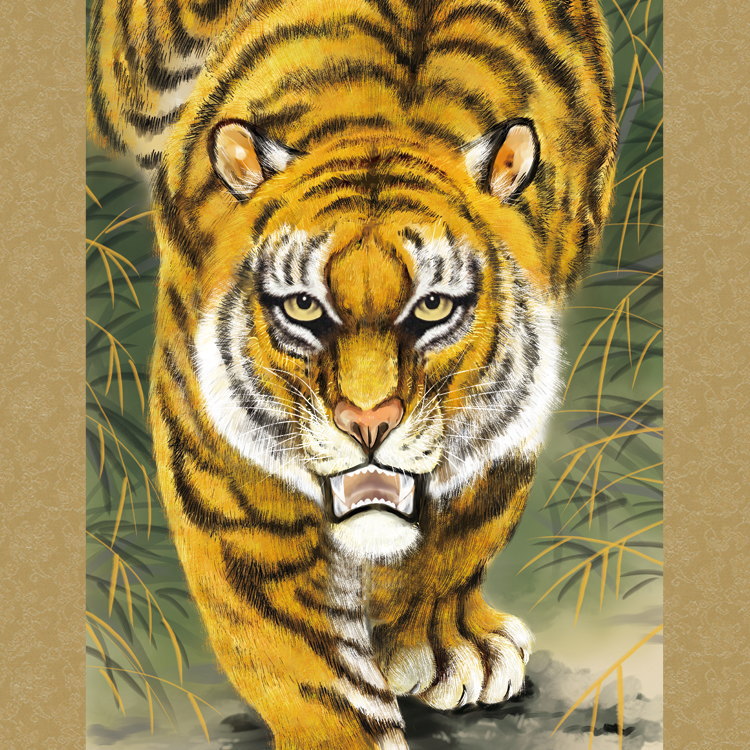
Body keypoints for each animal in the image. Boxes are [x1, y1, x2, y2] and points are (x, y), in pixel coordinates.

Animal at [88, 0, 617, 747]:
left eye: (432, 307)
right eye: (305, 307)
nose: (368, 423)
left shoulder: (504, 440)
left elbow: (461, 533)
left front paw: (444, 644)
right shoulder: (228, 479)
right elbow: (310, 668)